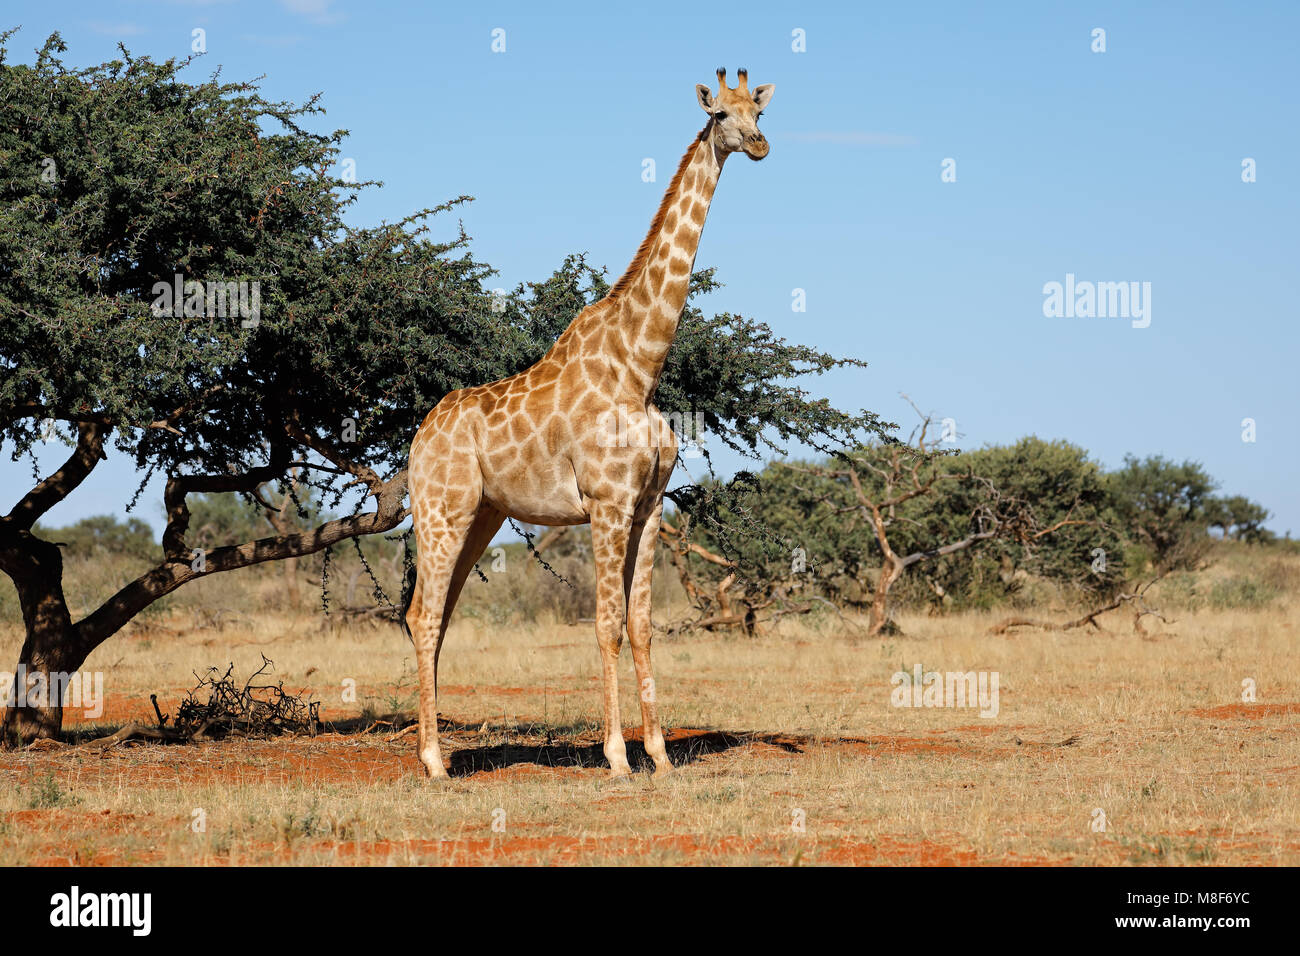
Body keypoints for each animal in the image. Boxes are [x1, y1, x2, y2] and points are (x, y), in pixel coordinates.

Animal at [403, 70, 769, 780]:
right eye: (720, 113)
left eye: (759, 111)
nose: (760, 144)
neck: (640, 367)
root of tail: (417, 439)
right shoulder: (605, 502)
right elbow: (603, 624)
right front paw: (618, 756)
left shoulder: (648, 506)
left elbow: (642, 625)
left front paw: (659, 754)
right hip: (441, 509)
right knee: (425, 615)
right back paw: (433, 762)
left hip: (480, 515)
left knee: (432, 613)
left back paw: (441, 754)